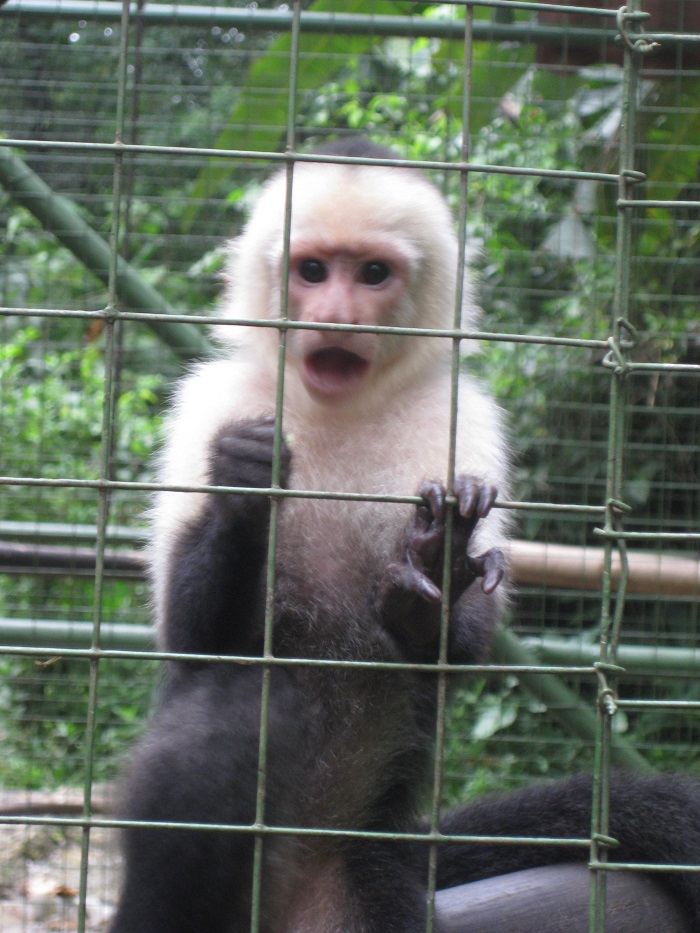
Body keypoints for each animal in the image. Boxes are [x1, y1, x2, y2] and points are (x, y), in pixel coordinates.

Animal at [109, 140, 700, 932]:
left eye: (372, 274)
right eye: (313, 270)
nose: (336, 315)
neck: (342, 408)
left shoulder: (467, 420)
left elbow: (464, 643)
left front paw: (437, 578)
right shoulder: (207, 405)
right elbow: (192, 638)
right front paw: (243, 489)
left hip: (364, 879)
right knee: (225, 717)